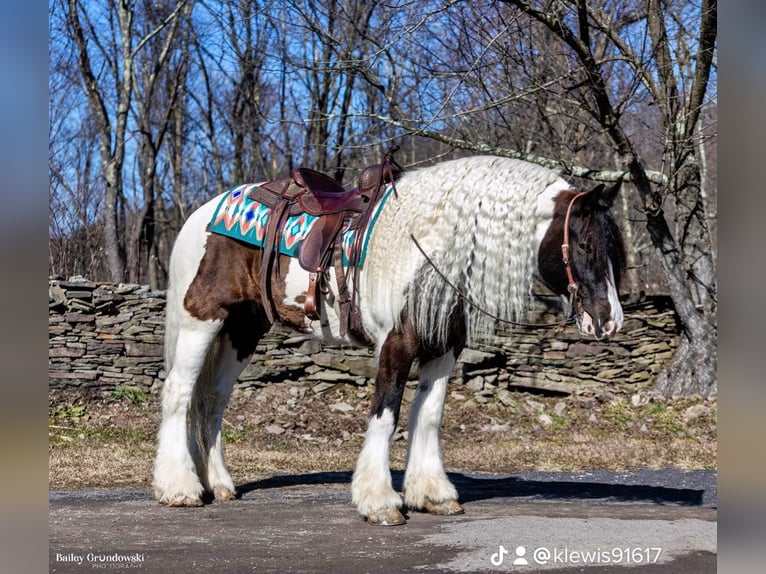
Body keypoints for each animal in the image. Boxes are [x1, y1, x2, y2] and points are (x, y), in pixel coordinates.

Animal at [153, 156, 628, 528]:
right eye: (583, 244)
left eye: (614, 249)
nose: (608, 321)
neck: (428, 249)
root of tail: (202, 215)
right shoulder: (395, 346)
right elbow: (386, 414)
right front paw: (380, 501)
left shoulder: (443, 350)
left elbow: (428, 416)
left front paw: (433, 494)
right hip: (202, 321)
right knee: (179, 393)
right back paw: (180, 488)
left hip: (242, 330)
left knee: (211, 402)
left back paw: (219, 484)